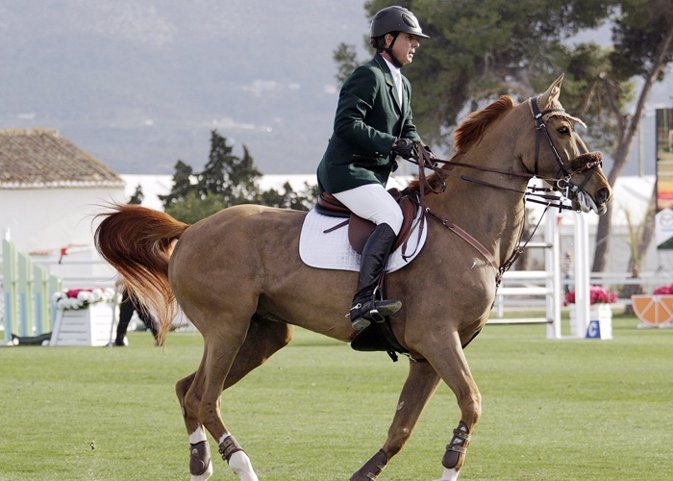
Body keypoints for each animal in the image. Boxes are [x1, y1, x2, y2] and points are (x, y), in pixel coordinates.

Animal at [96, 77, 616, 478]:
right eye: (563, 129)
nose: (603, 191)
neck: (465, 228)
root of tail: (190, 230)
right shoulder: (437, 338)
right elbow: (471, 402)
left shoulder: (428, 355)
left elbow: (402, 428)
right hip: (227, 327)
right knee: (205, 399)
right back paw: (242, 465)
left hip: (263, 334)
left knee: (189, 392)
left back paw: (201, 465)